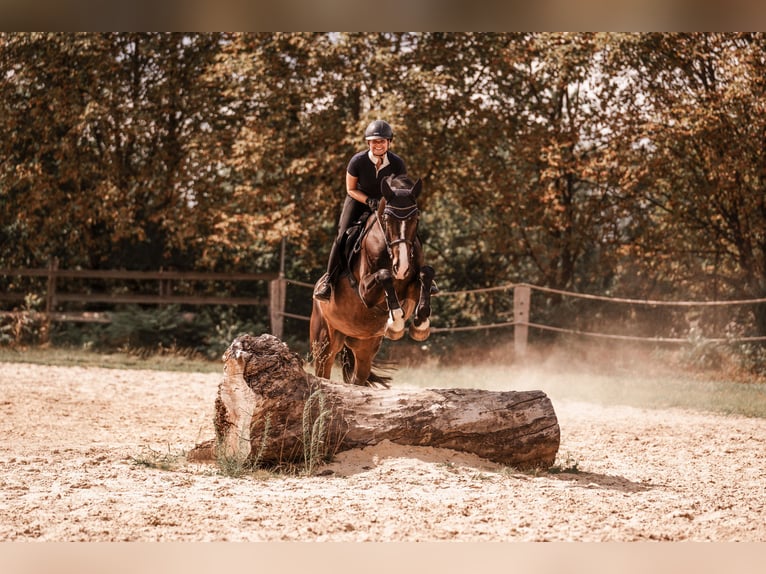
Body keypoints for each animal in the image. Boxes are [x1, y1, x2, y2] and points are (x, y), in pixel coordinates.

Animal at [310, 174, 435, 387]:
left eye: (416, 217)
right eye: (387, 218)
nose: (402, 267)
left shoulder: (411, 288)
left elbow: (426, 274)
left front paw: (420, 325)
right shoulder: (365, 292)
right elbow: (384, 275)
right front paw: (395, 323)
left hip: (365, 346)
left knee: (358, 377)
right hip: (324, 342)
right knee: (322, 372)